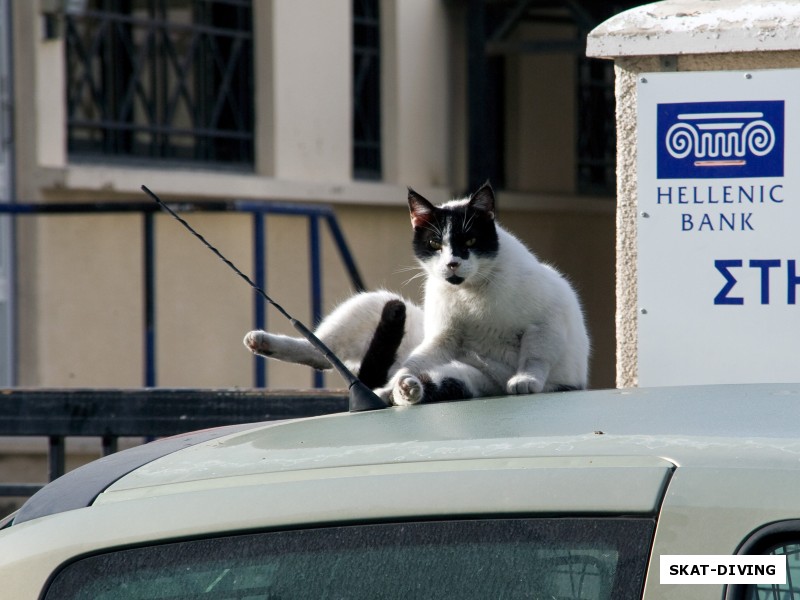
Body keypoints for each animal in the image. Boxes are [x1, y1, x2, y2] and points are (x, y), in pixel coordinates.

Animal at [247, 183, 592, 406]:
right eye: (435, 244)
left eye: (470, 241)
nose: (452, 263)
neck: (473, 295)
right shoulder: (443, 338)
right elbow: (415, 360)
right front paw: (391, 387)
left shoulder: (546, 321)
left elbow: (535, 355)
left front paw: (526, 380)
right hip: (371, 304)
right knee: (321, 351)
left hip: (462, 376)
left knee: (426, 382)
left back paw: (406, 390)